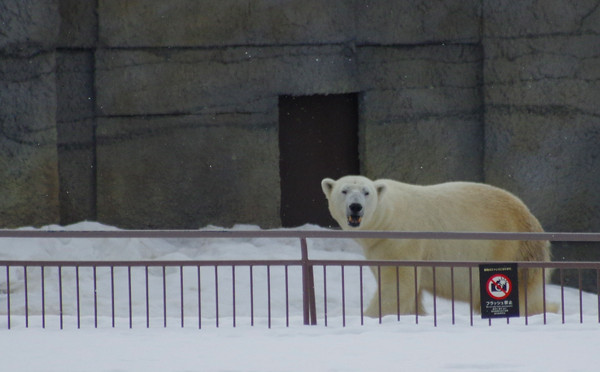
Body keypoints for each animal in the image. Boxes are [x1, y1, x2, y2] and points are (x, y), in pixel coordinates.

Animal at [322, 174, 556, 316]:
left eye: (366, 192)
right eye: (344, 191)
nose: (355, 206)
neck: (386, 216)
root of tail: (533, 222)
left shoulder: (401, 241)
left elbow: (398, 286)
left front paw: (371, 316)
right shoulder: (377, 248)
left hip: (508, 249)